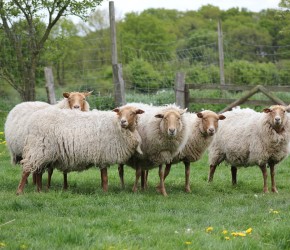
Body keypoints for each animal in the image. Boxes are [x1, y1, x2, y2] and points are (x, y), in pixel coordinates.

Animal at [15, 104, 144, 194]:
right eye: (120, 112)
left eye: (133, 113)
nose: (123, 122)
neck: (116, 125)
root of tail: (32, 121)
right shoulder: (103, 156)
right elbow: (105, 178)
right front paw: (105, 192)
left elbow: (103, 178)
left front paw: (103, 191)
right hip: (39, 148)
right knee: (27, 170)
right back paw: (20, 192)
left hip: (42, 151)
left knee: (38, 172)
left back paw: (39, 191)